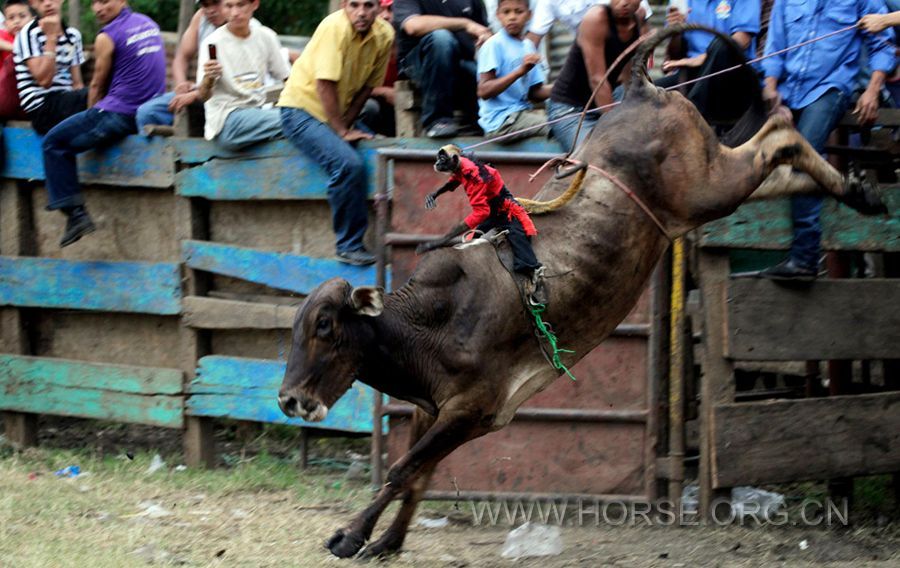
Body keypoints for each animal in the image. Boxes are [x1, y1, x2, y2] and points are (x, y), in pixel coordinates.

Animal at [274, 24, 884, 556]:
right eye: (294, 331)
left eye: (325, 326)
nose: (288, 400)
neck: (431, 321)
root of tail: (638, 89)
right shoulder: (433, 410)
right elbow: (418, 474)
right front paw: (389, 540)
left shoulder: (471, 409)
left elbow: (403, 470)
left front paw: (350, 535)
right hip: (707, 192)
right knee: (779, 164)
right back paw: (859, 191)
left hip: (707, 186)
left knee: (777, 133)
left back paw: (853, 184)